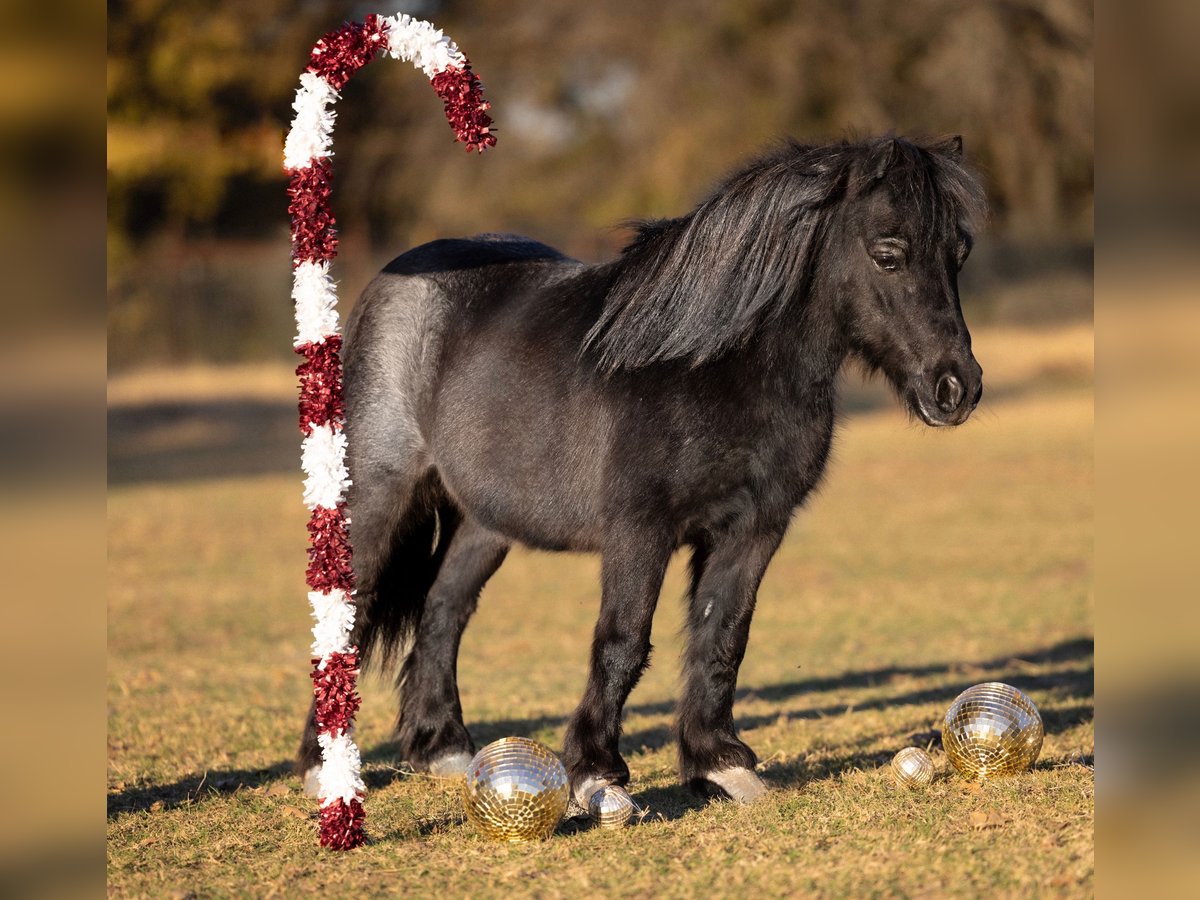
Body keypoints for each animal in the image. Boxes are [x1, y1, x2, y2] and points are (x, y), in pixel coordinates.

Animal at [297, 135, 987, 806]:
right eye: (888, 254)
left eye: (960, 253)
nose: (957, 389)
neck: (707, 367)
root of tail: (394, 283)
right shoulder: (639, 530)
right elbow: (623, 640)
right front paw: (598, 774)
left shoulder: (755, 528)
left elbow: (722, 636)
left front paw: (720, 764)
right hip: (380, 490)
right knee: (349, 608)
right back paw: (324, 766)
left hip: (485, 520)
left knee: (444, 609)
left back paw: (442, 747)